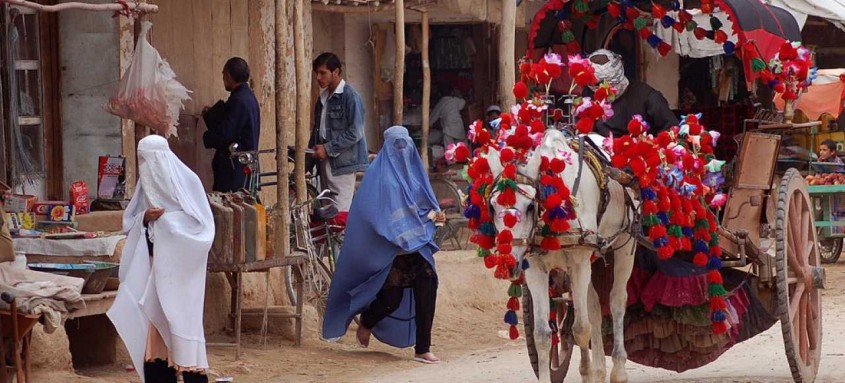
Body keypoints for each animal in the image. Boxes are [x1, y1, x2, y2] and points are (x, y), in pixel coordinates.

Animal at [484, 130, 636, 383]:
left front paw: (588, 375)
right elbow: (542, 335)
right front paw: (585, 371)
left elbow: (580, 329)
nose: (508, 264)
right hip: (592, 259)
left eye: (529, 206)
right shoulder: (535, 269)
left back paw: (619, 370)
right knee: (594, 306)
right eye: (492, 207)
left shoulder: (579, 262)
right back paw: (599, 369)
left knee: (616, 302)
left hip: (625, 244)